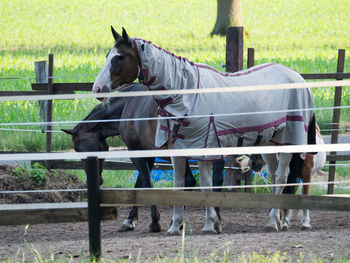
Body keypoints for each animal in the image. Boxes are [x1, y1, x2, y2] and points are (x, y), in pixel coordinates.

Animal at [61, 83, 198, 234]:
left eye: (78, 150)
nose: (94, 180)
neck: (128, 104)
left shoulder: (136, 153)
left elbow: (146, 185)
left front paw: (154, 222)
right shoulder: (148, 156)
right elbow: (139, 185)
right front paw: (129, 220)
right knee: (189, 181)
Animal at [91, 26, 316, 234]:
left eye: (120, 57)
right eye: (107, 55)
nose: (97, 89)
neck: (186, 92)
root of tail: (298, 77)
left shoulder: (203, 148)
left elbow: (206, 185)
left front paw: (209, 225)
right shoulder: (178, 150)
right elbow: (180, 185)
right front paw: (176, 226)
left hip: (289, 141)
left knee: (282, 176)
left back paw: (274, 221)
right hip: (269, 143)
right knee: (275, 176)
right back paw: (276, 220)